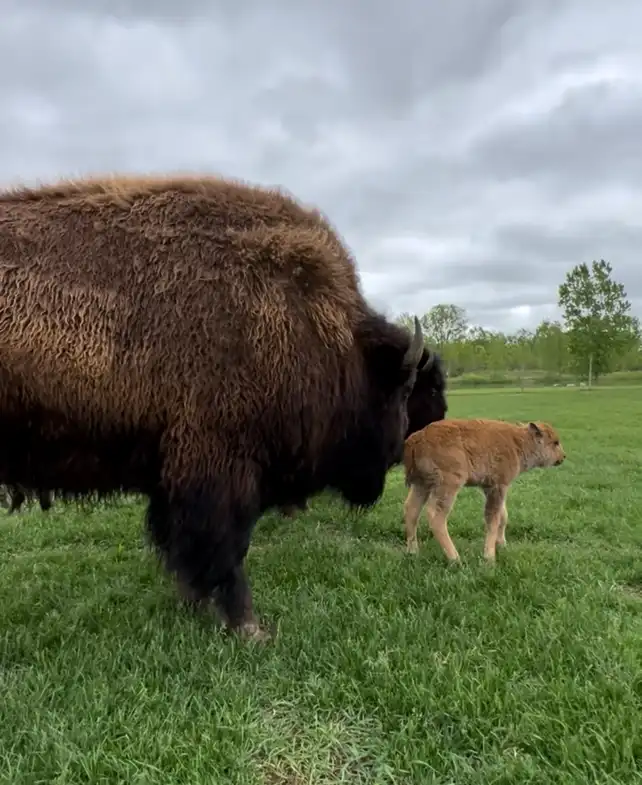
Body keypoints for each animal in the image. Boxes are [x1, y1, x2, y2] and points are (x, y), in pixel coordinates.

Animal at [0, 173, 446, 640]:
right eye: (406, 389)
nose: (402, 448)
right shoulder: (219, 469)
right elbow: (224, 549)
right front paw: (249, 628)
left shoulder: (175, 478)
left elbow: (183, 548)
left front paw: (195, 604)